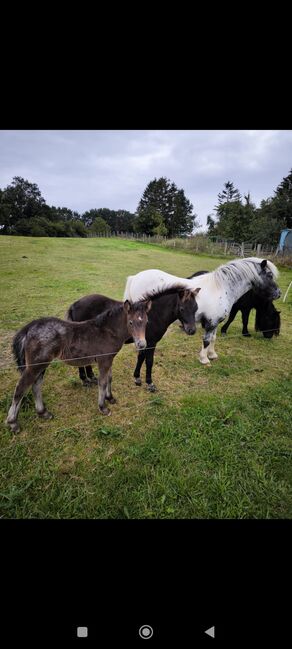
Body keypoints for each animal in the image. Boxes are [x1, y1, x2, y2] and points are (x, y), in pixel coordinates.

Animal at [123, 256, 280, 364]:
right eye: (270, 275)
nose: (278, 293)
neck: (220, 288)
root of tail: (135, 277)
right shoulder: (211, 322)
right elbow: (206, 340)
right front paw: (204, 359)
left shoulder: (216, 321)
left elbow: (213, 339)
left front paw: (212, 355)